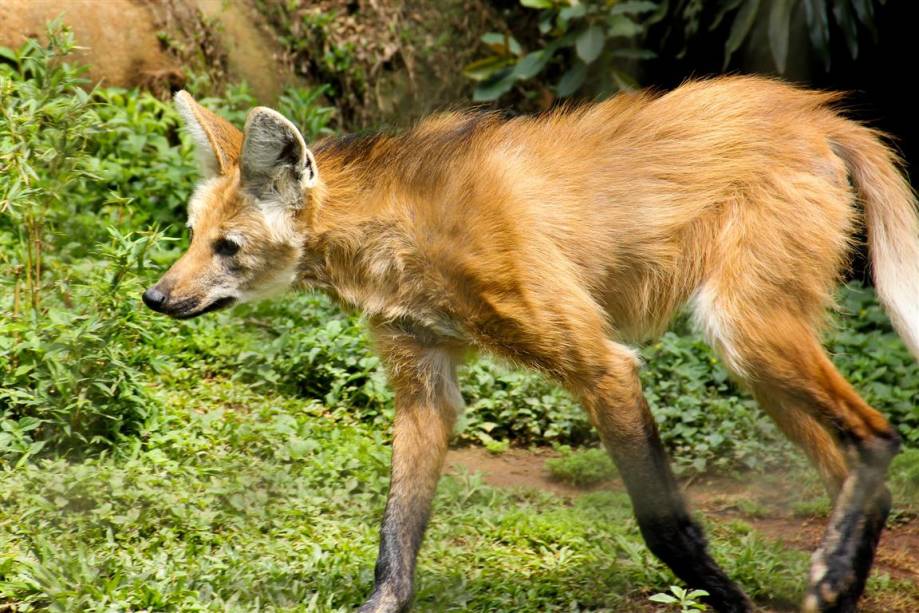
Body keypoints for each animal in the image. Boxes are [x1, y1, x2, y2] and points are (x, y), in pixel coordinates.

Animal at [144, 77, 919, 612]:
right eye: (192, 235)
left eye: (228, 247)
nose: (155, 297)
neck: (398, 234)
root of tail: (816, 112)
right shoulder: (424, 383)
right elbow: (396, 537)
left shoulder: (604, 365)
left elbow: (664, 524)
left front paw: (725, 599)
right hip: (756, 355)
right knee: (854, 468)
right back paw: (835, 581)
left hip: (743, 330)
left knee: (879, 436)